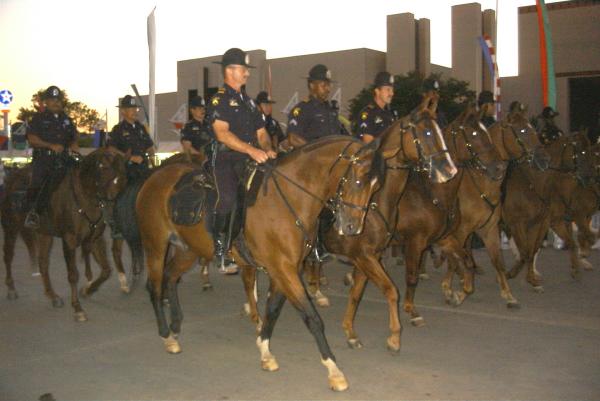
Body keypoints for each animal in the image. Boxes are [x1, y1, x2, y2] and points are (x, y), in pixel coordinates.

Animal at [35, 148, 127, 320]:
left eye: (123, 177)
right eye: (105, 172)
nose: (113, 214)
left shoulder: (95, 239)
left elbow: (106, 270)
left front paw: (87, 290)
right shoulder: (69, 241)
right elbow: (73, 274)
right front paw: (77, 308)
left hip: (45, 234)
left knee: (43, 263)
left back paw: (53, 296)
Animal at [138, 135, 396, 390]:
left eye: (376, 186)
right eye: (358, 180)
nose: (353, 227)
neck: (289, 199)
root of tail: (156, 175)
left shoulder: (286, 269)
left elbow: (272, 310)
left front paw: (265, 352)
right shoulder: (283, 269)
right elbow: (311, 318)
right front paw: (334, 370)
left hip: (188, 250)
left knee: (171, 276)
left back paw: (176, 326)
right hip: (155, 245)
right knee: (155, 287)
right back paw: (166, 336)